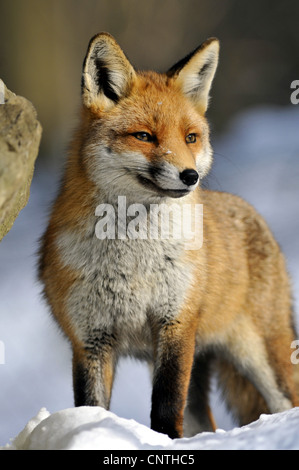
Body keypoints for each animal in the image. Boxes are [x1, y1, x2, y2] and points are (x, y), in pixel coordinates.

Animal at [39, 32, 299, 436]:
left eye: (190, 137)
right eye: (144, 136)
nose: (190, 176)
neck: (133, 258)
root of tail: (249, 209)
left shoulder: (175, 323)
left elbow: (165, 405)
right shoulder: (89, 338)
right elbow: (92, 407)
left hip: (261, 356)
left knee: (283, 402)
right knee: (203, 422)